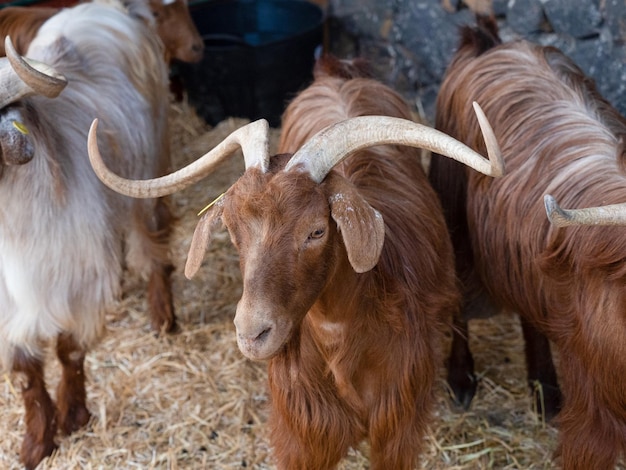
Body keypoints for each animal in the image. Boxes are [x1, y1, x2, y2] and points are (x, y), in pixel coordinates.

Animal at [0, 0, 176, 466]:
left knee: (152, 244)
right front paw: (36, 444)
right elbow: (25, 375)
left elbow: (70, 351)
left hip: (146, 177)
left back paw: (163, 318)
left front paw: (73, 417)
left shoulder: (76, 281)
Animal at [426, 15, 624, 470]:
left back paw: (545, 391)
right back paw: (461, 380)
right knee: (457, 297)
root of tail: (490, 42)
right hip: (454, 215)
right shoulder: (596, 393)